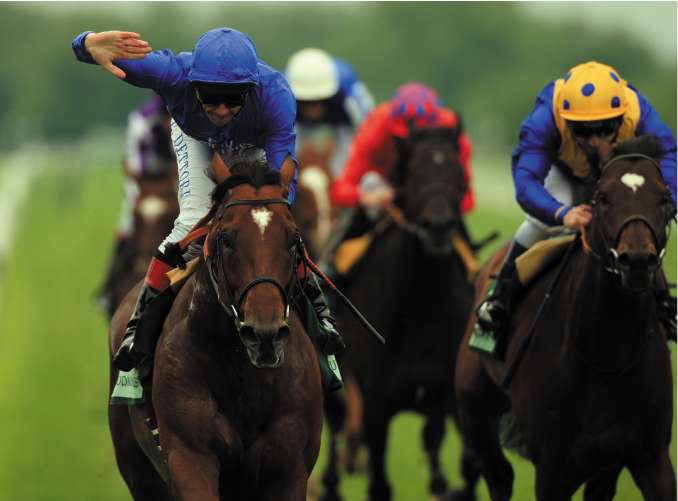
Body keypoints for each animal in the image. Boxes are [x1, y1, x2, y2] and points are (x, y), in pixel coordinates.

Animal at [108, 154, 324, 498]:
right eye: (226, 238)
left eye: (294, 239)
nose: (263, 334)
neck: (243, 375)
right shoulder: (189, 457)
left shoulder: (289, 469)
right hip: (137, 468)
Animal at [456, 135, 676, 498]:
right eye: (602, 198)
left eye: (664, 198)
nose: (637, 261)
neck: (607, 355)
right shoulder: (553, 468)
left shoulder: (650, 458)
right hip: (474, 407)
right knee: (499, 474)